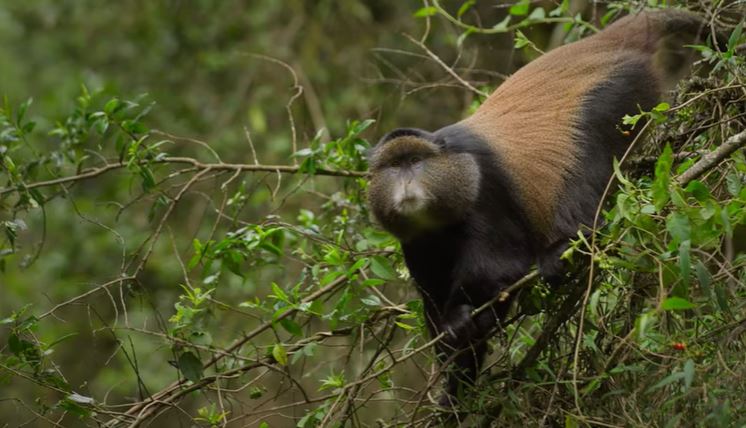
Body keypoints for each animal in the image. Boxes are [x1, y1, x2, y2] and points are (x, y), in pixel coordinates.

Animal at [367, 9, 722, 406]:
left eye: (415, 161)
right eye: (393, 167)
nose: (405, 184)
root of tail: (602, 43)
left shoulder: (486, 192)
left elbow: (500, 265)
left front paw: (460, 318)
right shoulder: (416, 244)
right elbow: (439, 311)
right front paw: (456, 384)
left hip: (621, 94)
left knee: (587, 165)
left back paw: (568, 246)